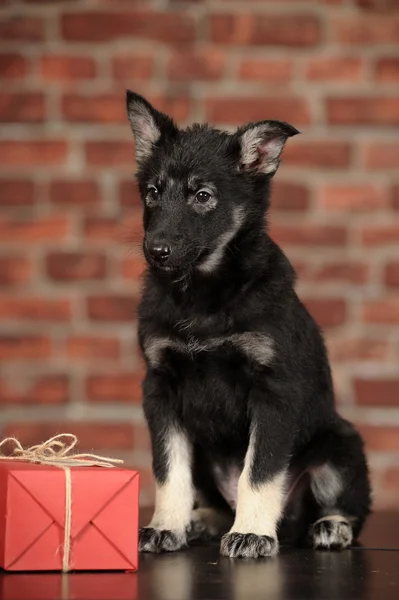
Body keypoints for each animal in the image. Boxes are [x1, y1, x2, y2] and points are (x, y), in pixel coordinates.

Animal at [127, 91, 372, 560]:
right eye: (152, 192)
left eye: (203, 195)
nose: (156, 251)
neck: (204, 293)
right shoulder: (160, 388)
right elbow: (169, 470)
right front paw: (165, 525)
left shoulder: (274, 390)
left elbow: (258, 470)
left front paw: (253, 532)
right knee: (213, 497)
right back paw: (200, 521)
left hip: (340, 447)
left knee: (347, 506)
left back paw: (330, 526)